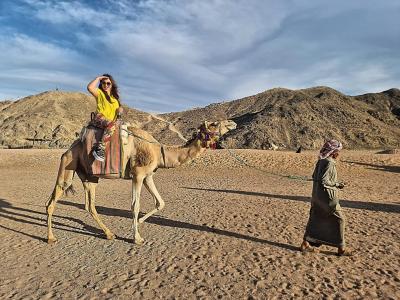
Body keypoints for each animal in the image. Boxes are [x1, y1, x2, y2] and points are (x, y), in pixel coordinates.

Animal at [45, 119, 236, 244]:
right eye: (214, 124)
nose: (232, 123)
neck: (158, 151)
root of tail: (70, 148)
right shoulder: (138, 174)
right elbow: (135, 205)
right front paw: (137, 237)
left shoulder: (148, 176)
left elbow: (160, 202)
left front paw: (140, 223)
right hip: (68, 165)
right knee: (52, 201)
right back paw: (51, 237)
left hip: (89, 175)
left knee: (89, 205)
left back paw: (109, 234)